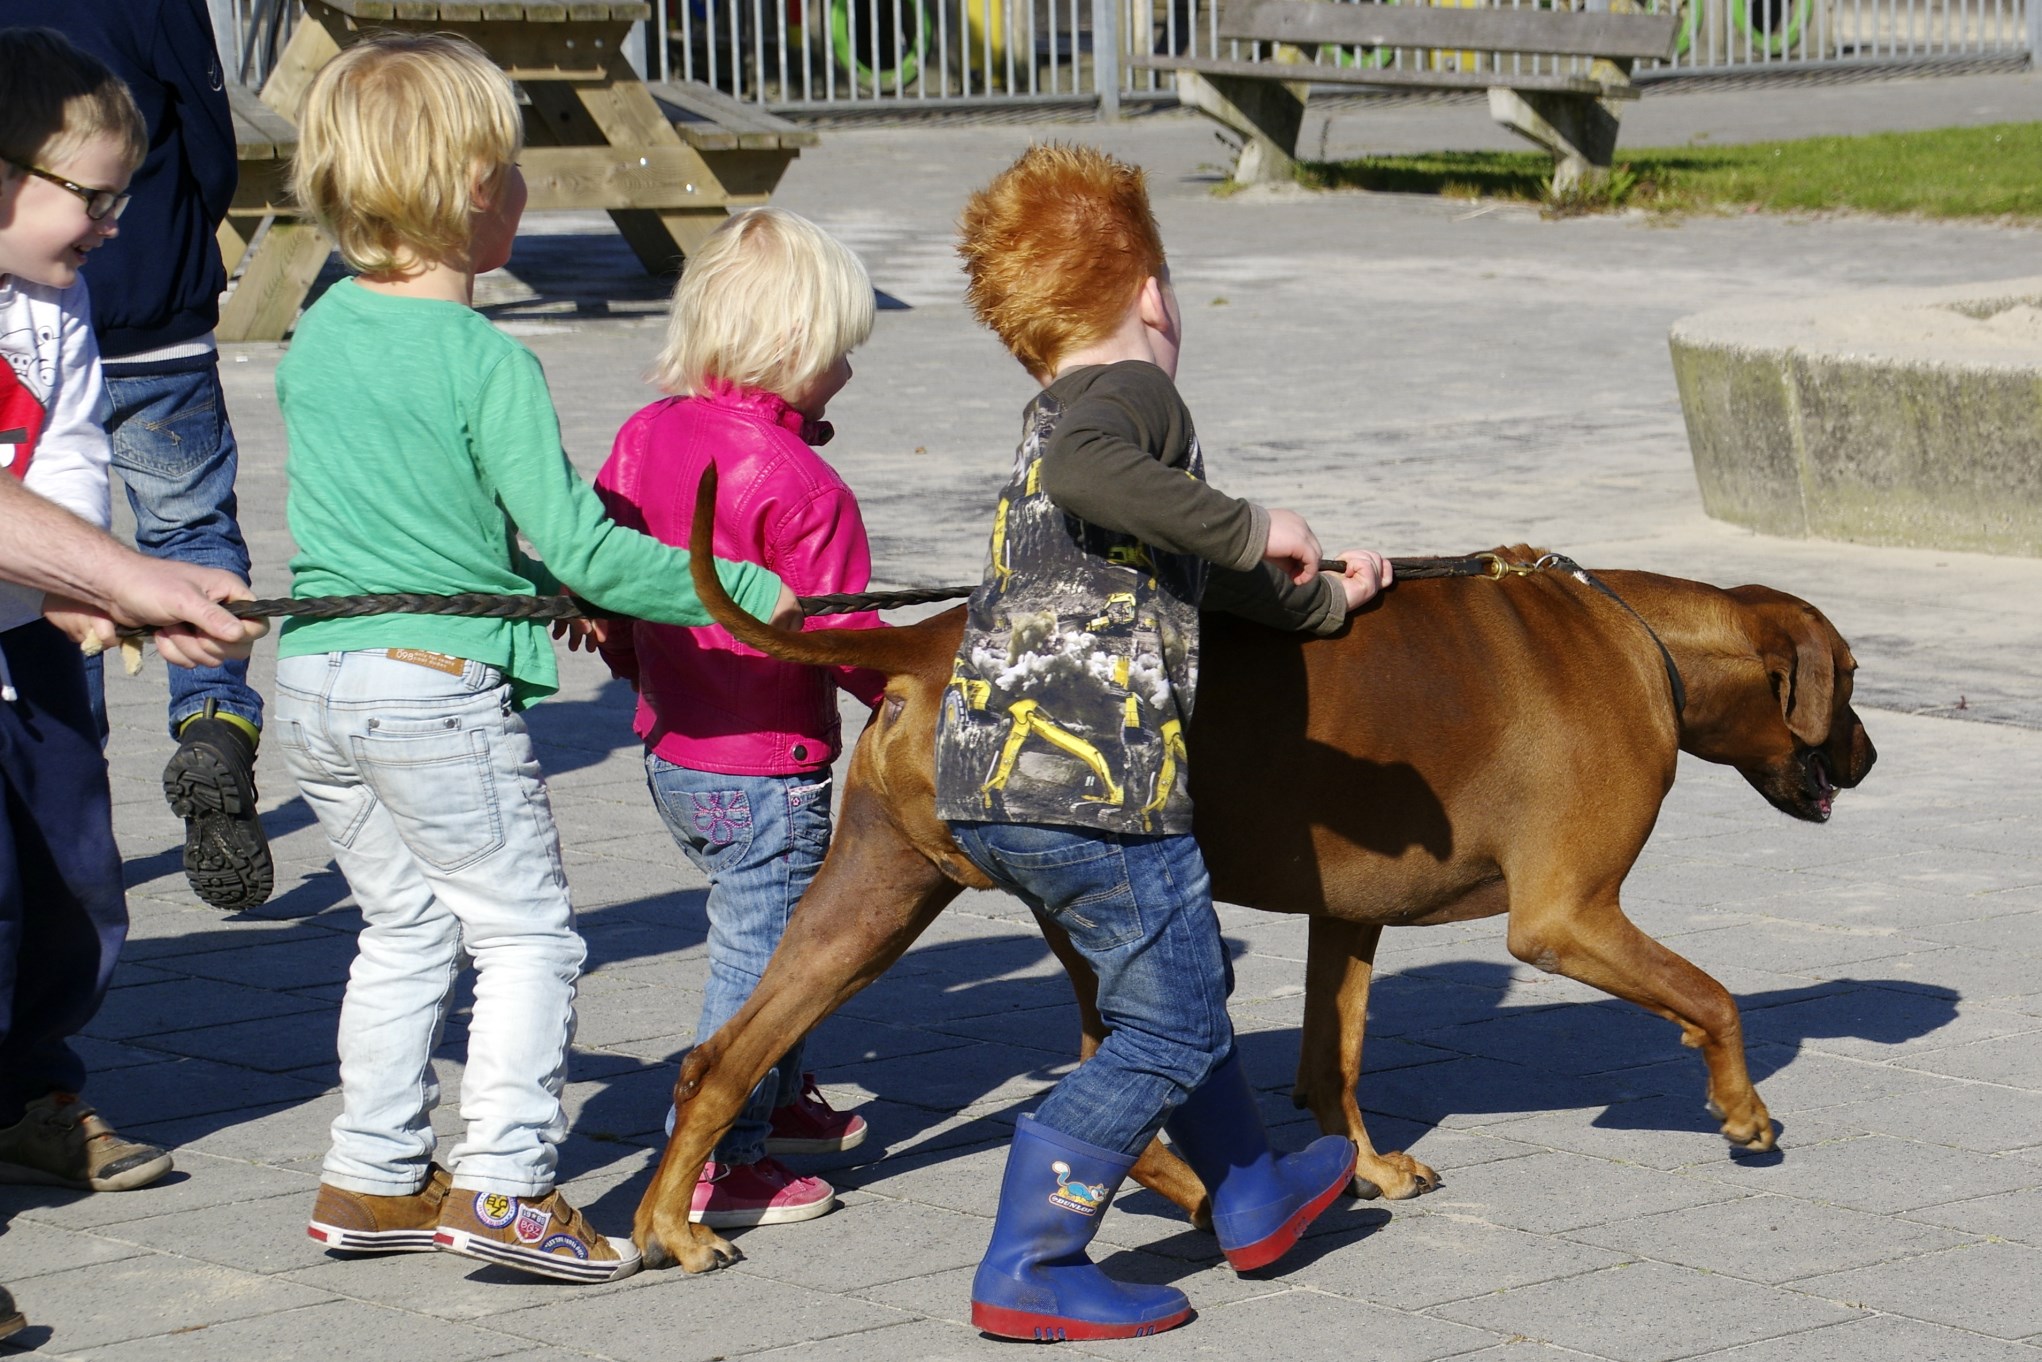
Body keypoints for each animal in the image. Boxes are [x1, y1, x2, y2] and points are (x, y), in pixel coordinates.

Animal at [628, 504, 1870, 1282]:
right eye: (1852, 681)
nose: (1863, 759)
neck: (1638, 637)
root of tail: (929, 638)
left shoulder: (1348, 914)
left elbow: (1335, 1058)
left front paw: (1362, 1161)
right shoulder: (1566, 919)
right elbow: (1709, 997)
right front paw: (1742, 1111)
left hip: (875, 899)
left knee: (722, 1055)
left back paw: (668, 1225)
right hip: (1101, 895)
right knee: (1107, 1061)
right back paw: (1209, 1202)